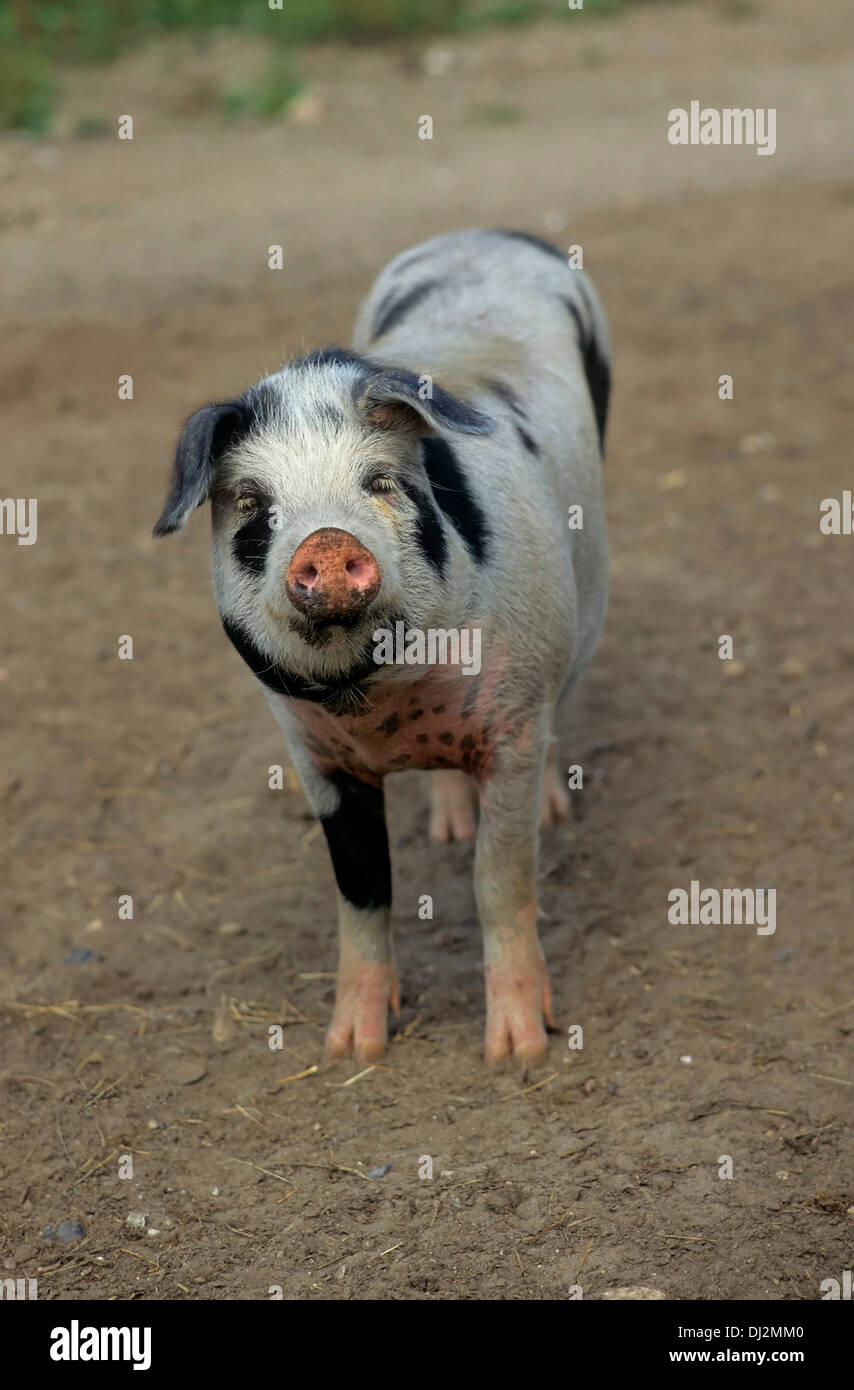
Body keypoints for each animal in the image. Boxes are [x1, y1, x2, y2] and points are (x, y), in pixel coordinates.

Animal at [154, 228, 610, 1065]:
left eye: (380, 483)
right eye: (253, 505)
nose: (328, 543)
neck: (378, 701)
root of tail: (487, 234)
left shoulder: (512, 725)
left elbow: (500, 883)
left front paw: (517, 1052)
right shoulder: (315, 756)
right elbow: (363, 891)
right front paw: (352, 1049)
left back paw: (554, 809)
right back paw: (446, 824)